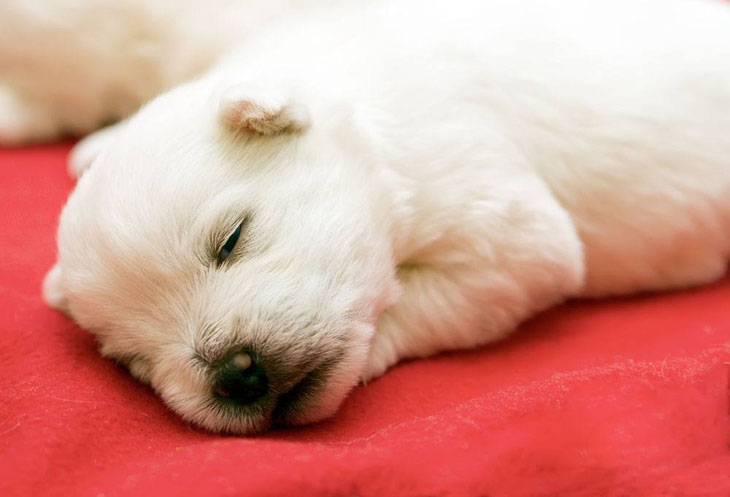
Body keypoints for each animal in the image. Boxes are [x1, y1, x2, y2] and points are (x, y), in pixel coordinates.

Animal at [42, 0, 728, 434]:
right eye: (132, 360)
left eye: (231, 239)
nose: (234, 376)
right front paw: (92, 146)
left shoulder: (503, 232)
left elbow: (423, 303)